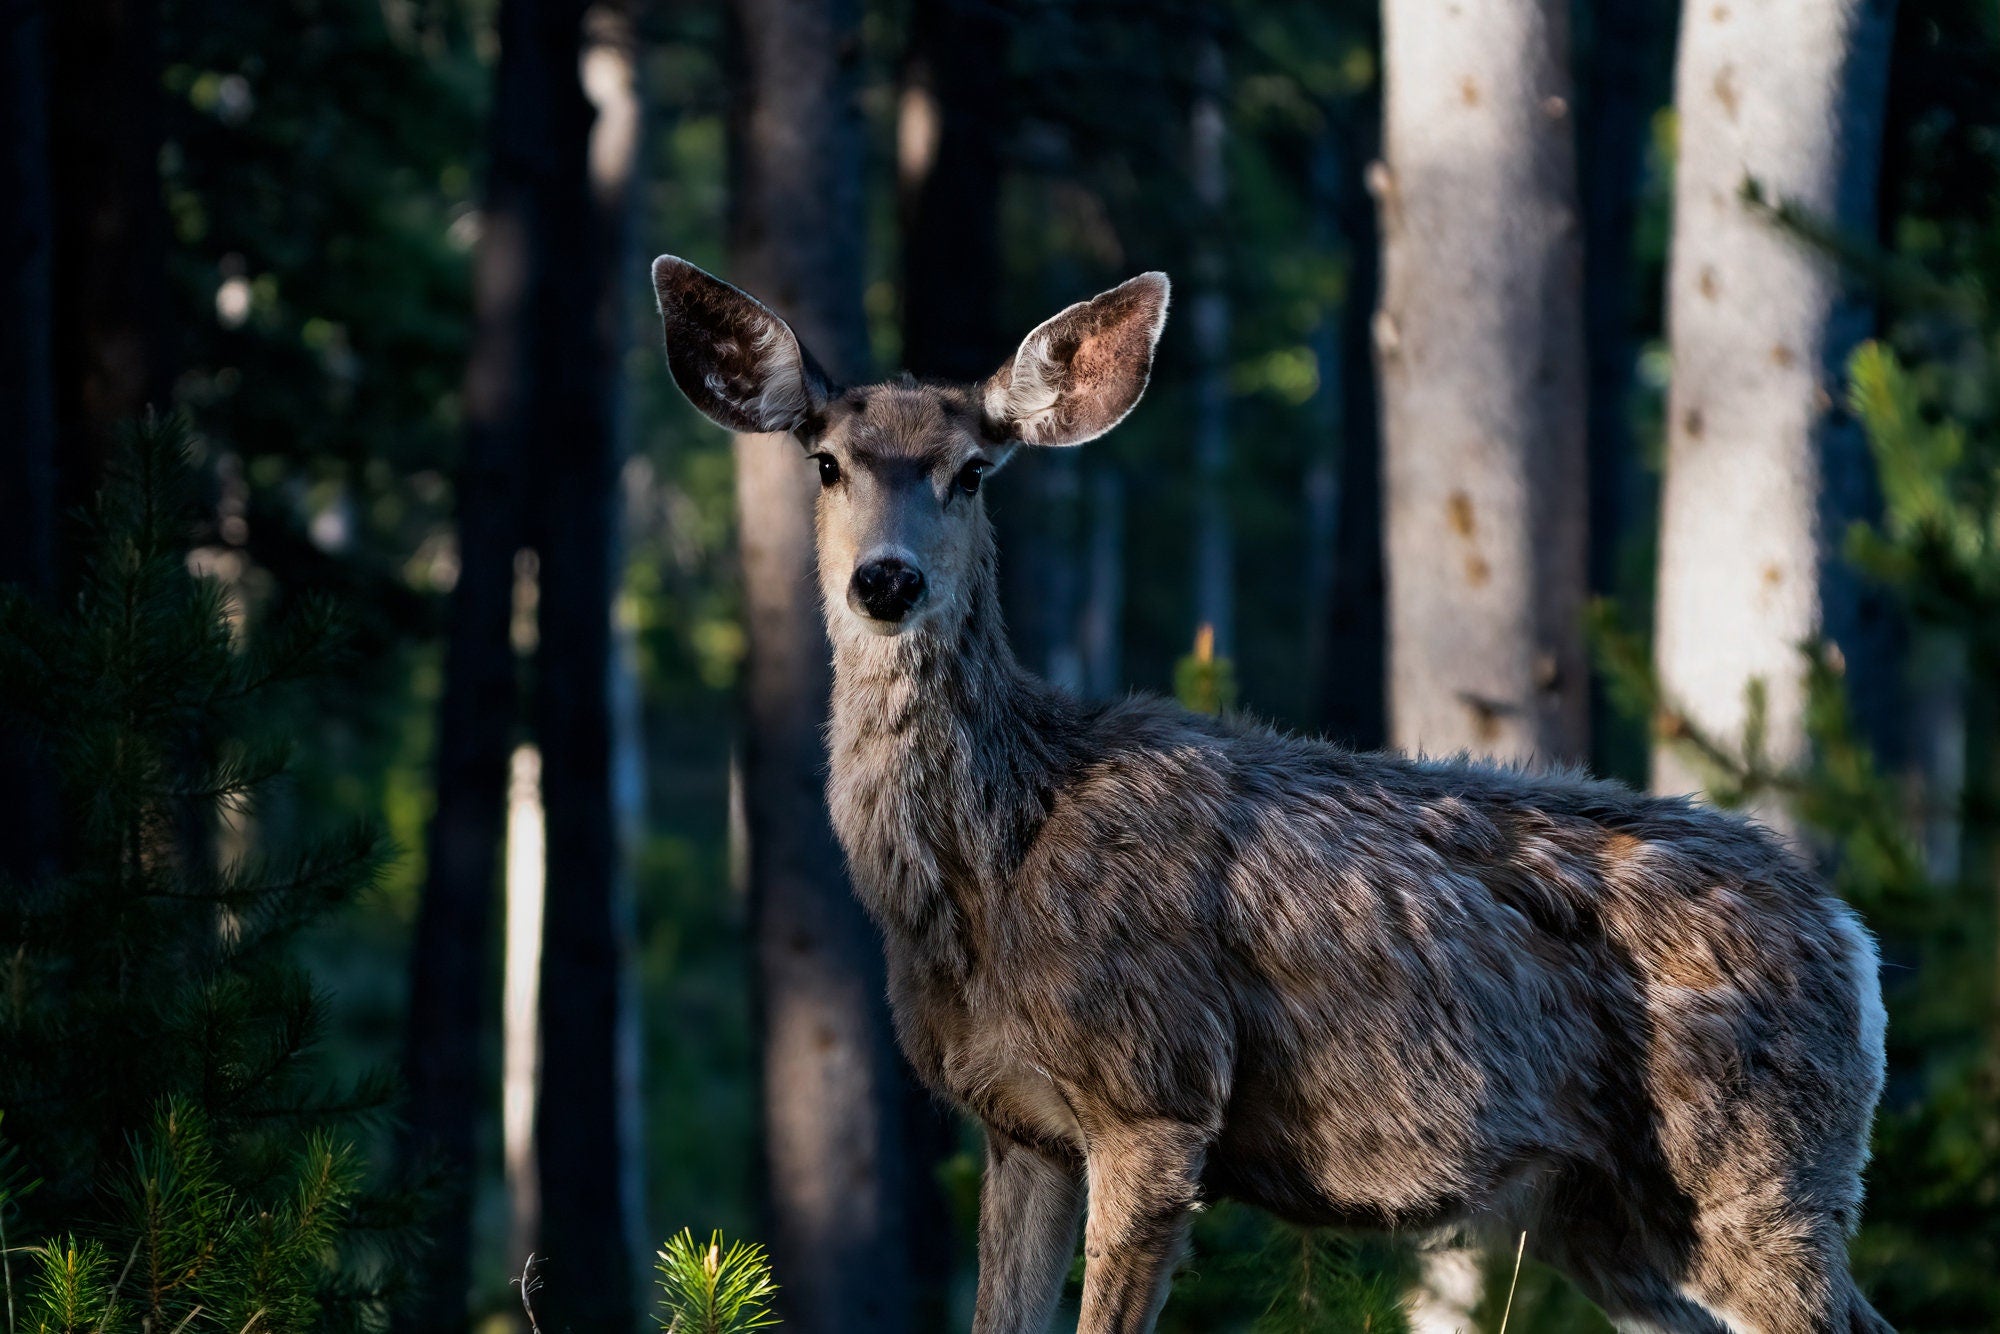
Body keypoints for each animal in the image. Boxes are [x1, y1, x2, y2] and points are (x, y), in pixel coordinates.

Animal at [652, 253, 1888, 1334]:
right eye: (825, 461)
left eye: (972, 469)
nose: (886, 580)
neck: (988, 866)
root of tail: (1853, 938)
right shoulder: (1018, 1127)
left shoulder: (1158, 1092)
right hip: (1611, 1215)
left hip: (1759, 1170)